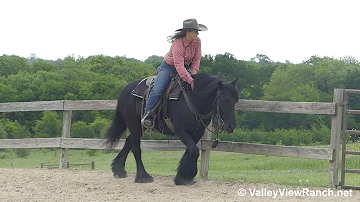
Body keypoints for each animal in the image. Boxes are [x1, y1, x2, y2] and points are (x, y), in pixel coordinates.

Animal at [102, 73, 240, 185]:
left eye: (236, 100)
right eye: (224, 99)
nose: (231, 126)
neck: (194, 100)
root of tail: (126, 90)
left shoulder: (197, 133)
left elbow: (191, 151)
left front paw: (183, 177)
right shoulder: (180, 131)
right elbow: (194, 150)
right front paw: (184, 177)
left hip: (140, 127)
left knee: (128, 143)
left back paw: (118, 170)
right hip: (134, 124)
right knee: (136, 148)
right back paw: (143, 177)